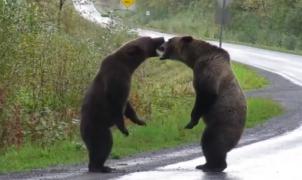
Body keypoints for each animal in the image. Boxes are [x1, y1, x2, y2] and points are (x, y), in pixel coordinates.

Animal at [81, 36, 165, 173]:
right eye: (149, 38)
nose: (161, 37)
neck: (128, 65)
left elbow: (128, 106)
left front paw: (141, 121)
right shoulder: (116, 80)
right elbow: (117, 104)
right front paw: (125, 129)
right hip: (96, 126)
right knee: (103, 144)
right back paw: (101, 167)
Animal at [157, 35, 247, 172]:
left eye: (170, 40)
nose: (161, 44)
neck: (196, 57)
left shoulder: (207, 69)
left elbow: (206, 94)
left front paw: (191, 122)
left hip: (222, 123)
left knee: (211, 142)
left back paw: (210, 166)